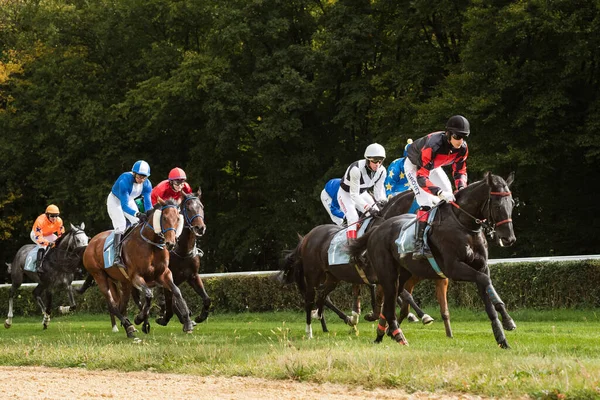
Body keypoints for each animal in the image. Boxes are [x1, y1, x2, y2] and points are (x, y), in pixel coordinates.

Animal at [81, 198, 192, 340]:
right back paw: (129, 326)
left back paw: (129, 328)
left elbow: (177, 291)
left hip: (123, 283)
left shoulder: (163, 274)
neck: (151, 244)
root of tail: (91, 243)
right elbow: (149, 296)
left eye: (178, 218)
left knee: (121, 305)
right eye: (165, 218)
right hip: (100, 276)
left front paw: (188, 322)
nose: (170, 243)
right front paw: (139, 318)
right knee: (112, 305)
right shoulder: (136, 276)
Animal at [350, 171, 516, 346]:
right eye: (497, 206)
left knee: (392, 300)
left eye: (512, 204)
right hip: (387, 274)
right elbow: (484, 280)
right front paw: (506, 319)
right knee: (388, 301)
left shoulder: (481, 266)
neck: (464, 225)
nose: (509, 238)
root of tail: (375, 229)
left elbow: (487, 291)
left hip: (403, 274)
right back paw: (395, 333)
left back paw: (382, 333)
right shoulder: (453, 268)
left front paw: (502, 332)